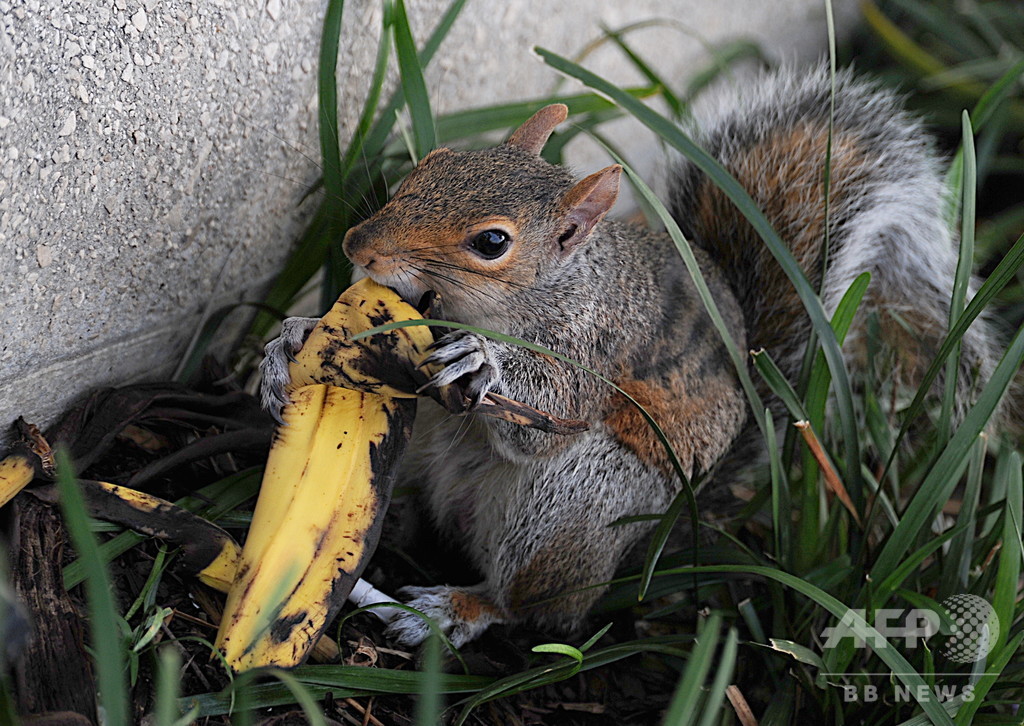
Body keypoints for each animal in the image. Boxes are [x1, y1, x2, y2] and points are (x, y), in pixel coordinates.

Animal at [260, 65, 995, 647]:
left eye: (492, 242)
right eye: (429, 165)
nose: (357, 246)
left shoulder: (596, 345)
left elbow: (550, 417)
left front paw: (483, 360)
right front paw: (288, 341)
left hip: (581, 502)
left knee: (532, 605)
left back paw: (455, 609)